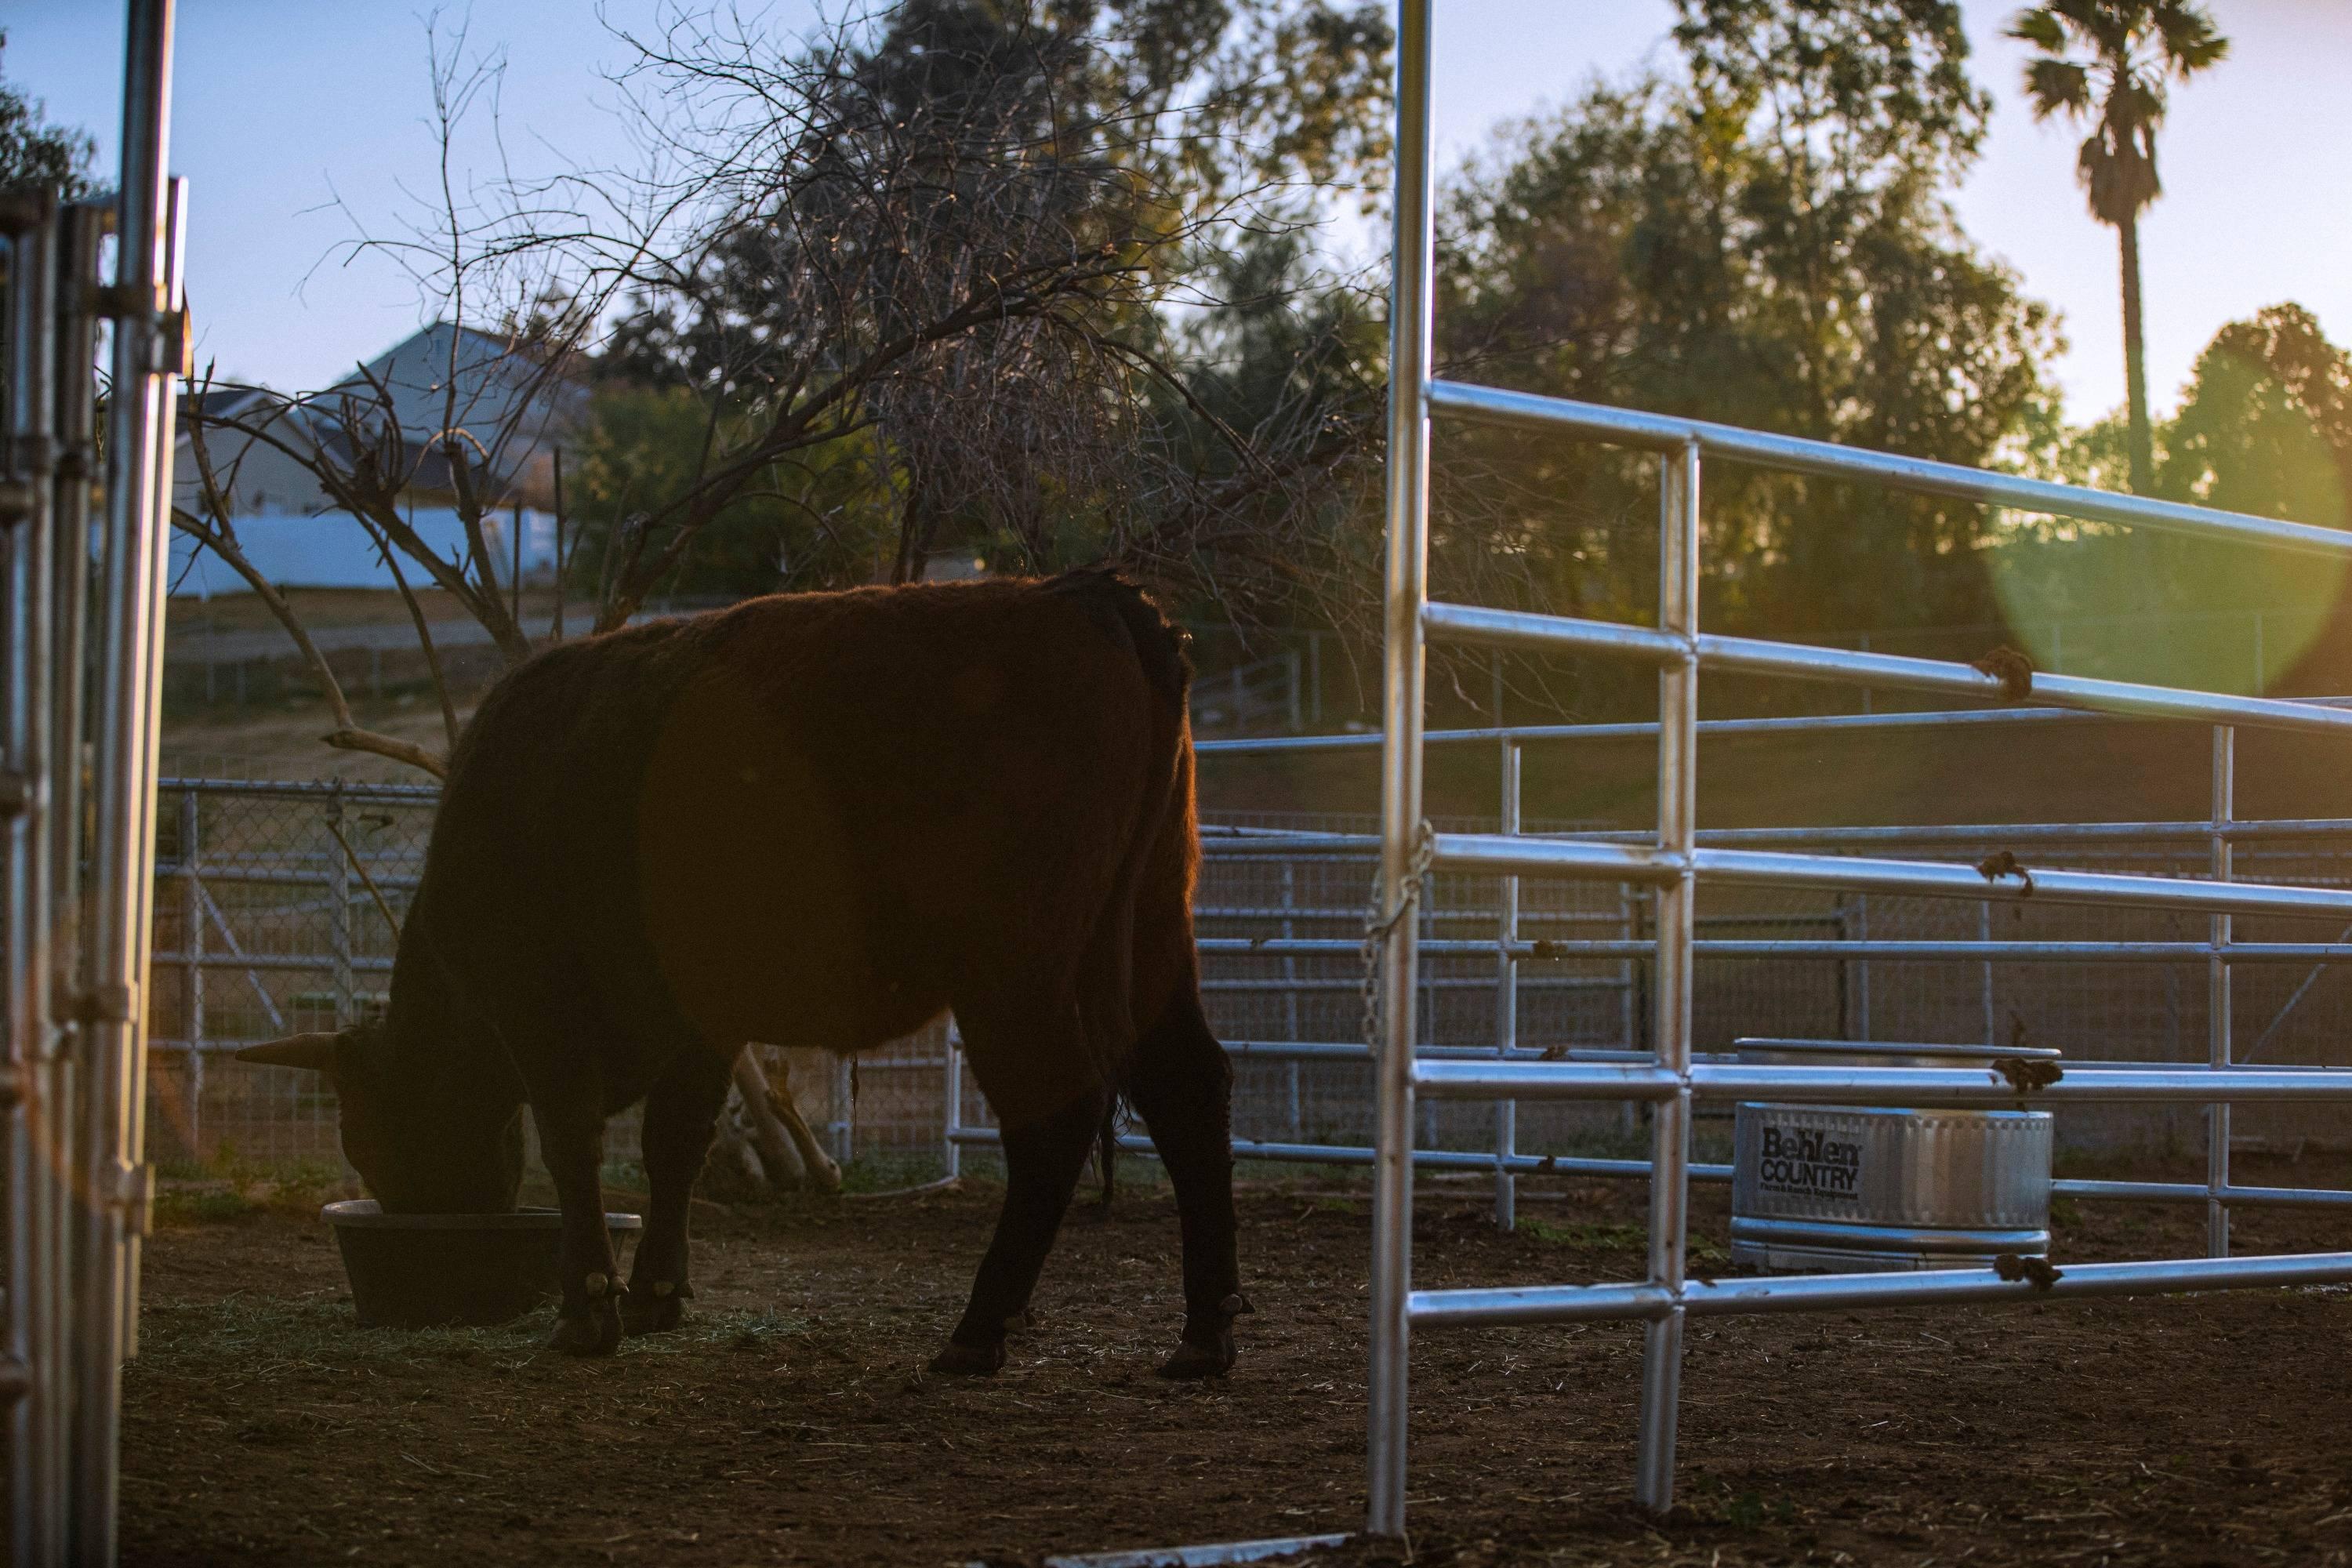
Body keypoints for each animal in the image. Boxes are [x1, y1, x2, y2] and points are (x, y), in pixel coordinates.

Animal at [238, 573, 1251, 1373]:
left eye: (362, 1128)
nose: (421, 1215)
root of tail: (1089, 593)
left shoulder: (543, 1011)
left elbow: (574, 1144)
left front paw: (587, 1309)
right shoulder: (701, 1023)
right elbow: (674, 1145)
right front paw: (656, 1293)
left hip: (1016, 971)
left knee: (1054, 1119)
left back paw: (978, 1327)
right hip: (1154, 932)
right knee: (1189, 1086)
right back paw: (1202, 1336)